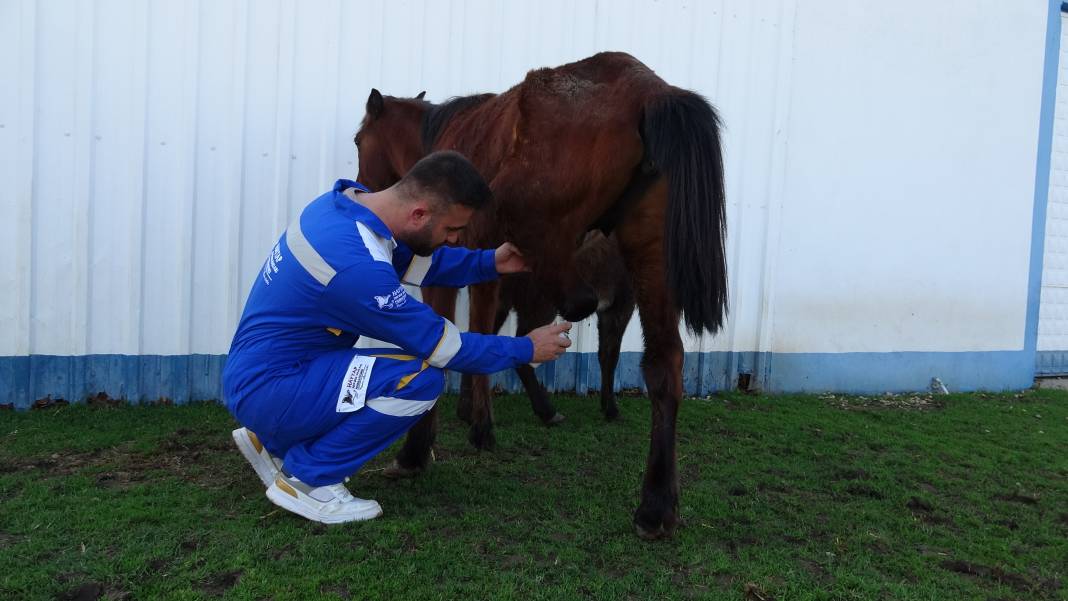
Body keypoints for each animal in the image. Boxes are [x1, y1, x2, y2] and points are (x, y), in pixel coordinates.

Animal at [356, 52, 726, 540]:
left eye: (359, 140)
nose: (362, 187)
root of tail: (651, 92)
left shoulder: (447, 260)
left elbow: (450, 340)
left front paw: (428, 446)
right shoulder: (486, 264)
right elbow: (480, 329)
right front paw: (475, 417)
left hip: (544, 243)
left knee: (569, 312)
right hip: (650, 254)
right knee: (664, 363)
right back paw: (656, 505)